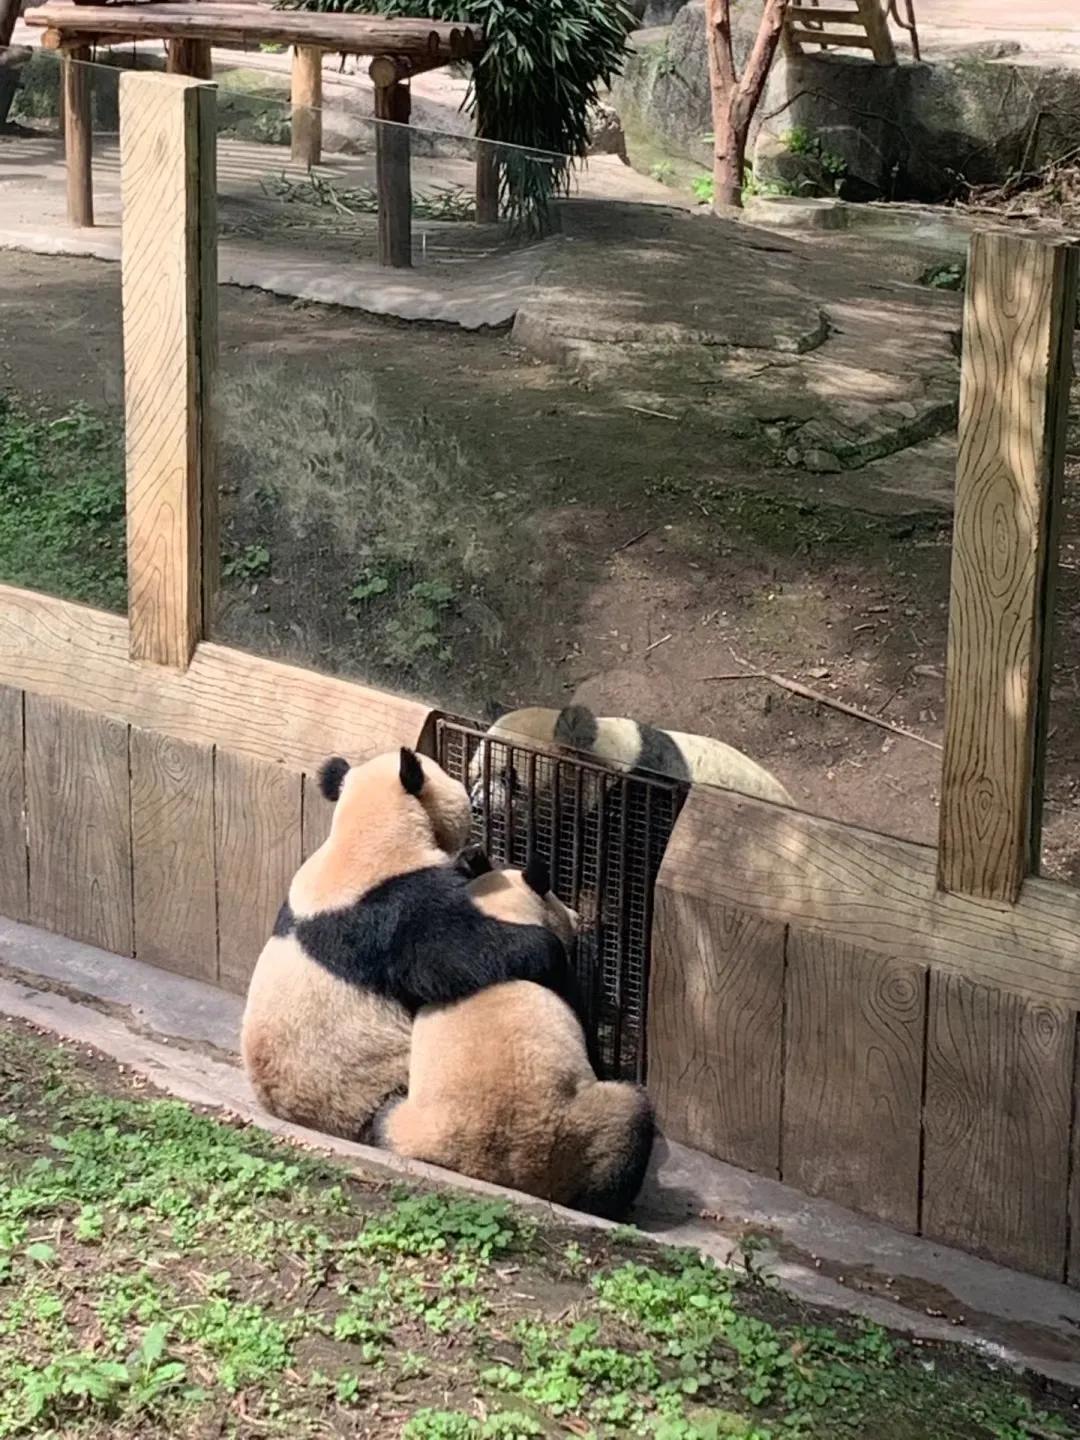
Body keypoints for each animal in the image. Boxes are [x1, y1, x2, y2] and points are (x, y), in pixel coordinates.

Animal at [243, 748, 584, 1140]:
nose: (474, 802)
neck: (365, 837)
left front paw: (473, 858)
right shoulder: (395, 914)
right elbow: (456, 954)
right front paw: (550, 952)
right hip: (372, 1086)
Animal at [377, 858, 656, 1221]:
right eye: (555, 896)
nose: (576, 915)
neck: (502, 911)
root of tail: (503, 1171)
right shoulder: (559, 975)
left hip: (412, 1133)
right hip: (585, 1127)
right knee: (630, 1122)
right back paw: (610, 1206)